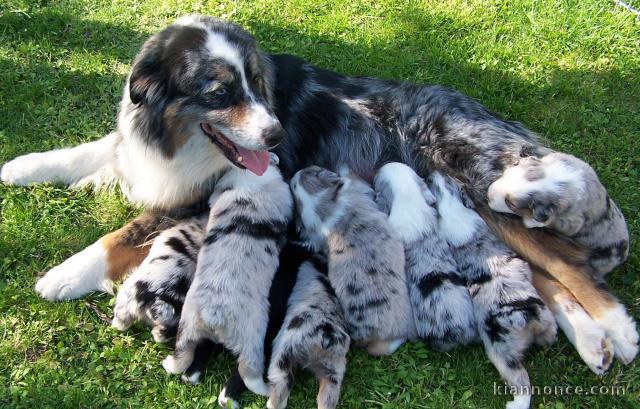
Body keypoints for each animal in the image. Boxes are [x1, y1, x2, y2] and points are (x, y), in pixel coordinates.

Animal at [430, 171, 556, 408]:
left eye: (431, 182)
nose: (432, 173)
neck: (450, 202)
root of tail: (521, 316)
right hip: (545, 318)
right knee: (548, 337)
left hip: (501, 354)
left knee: (522, 383)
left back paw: (514, 403)